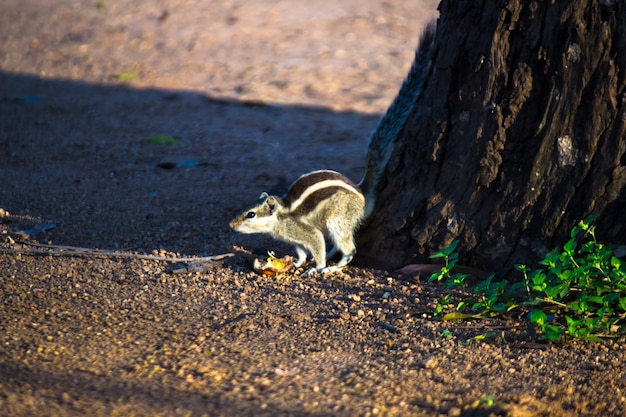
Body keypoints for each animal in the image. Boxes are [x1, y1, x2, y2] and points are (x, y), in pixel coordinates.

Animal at [229, 21, 434, 272]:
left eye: (250, 214)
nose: (231, 224)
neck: (282, 215)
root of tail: (362, 193)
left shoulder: (306, 232)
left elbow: (316, 244)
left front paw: (316, 267)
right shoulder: (294, 238)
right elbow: (300, 250)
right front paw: (299, 262)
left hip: (336, 221)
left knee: (349, 248)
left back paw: (332, 267)